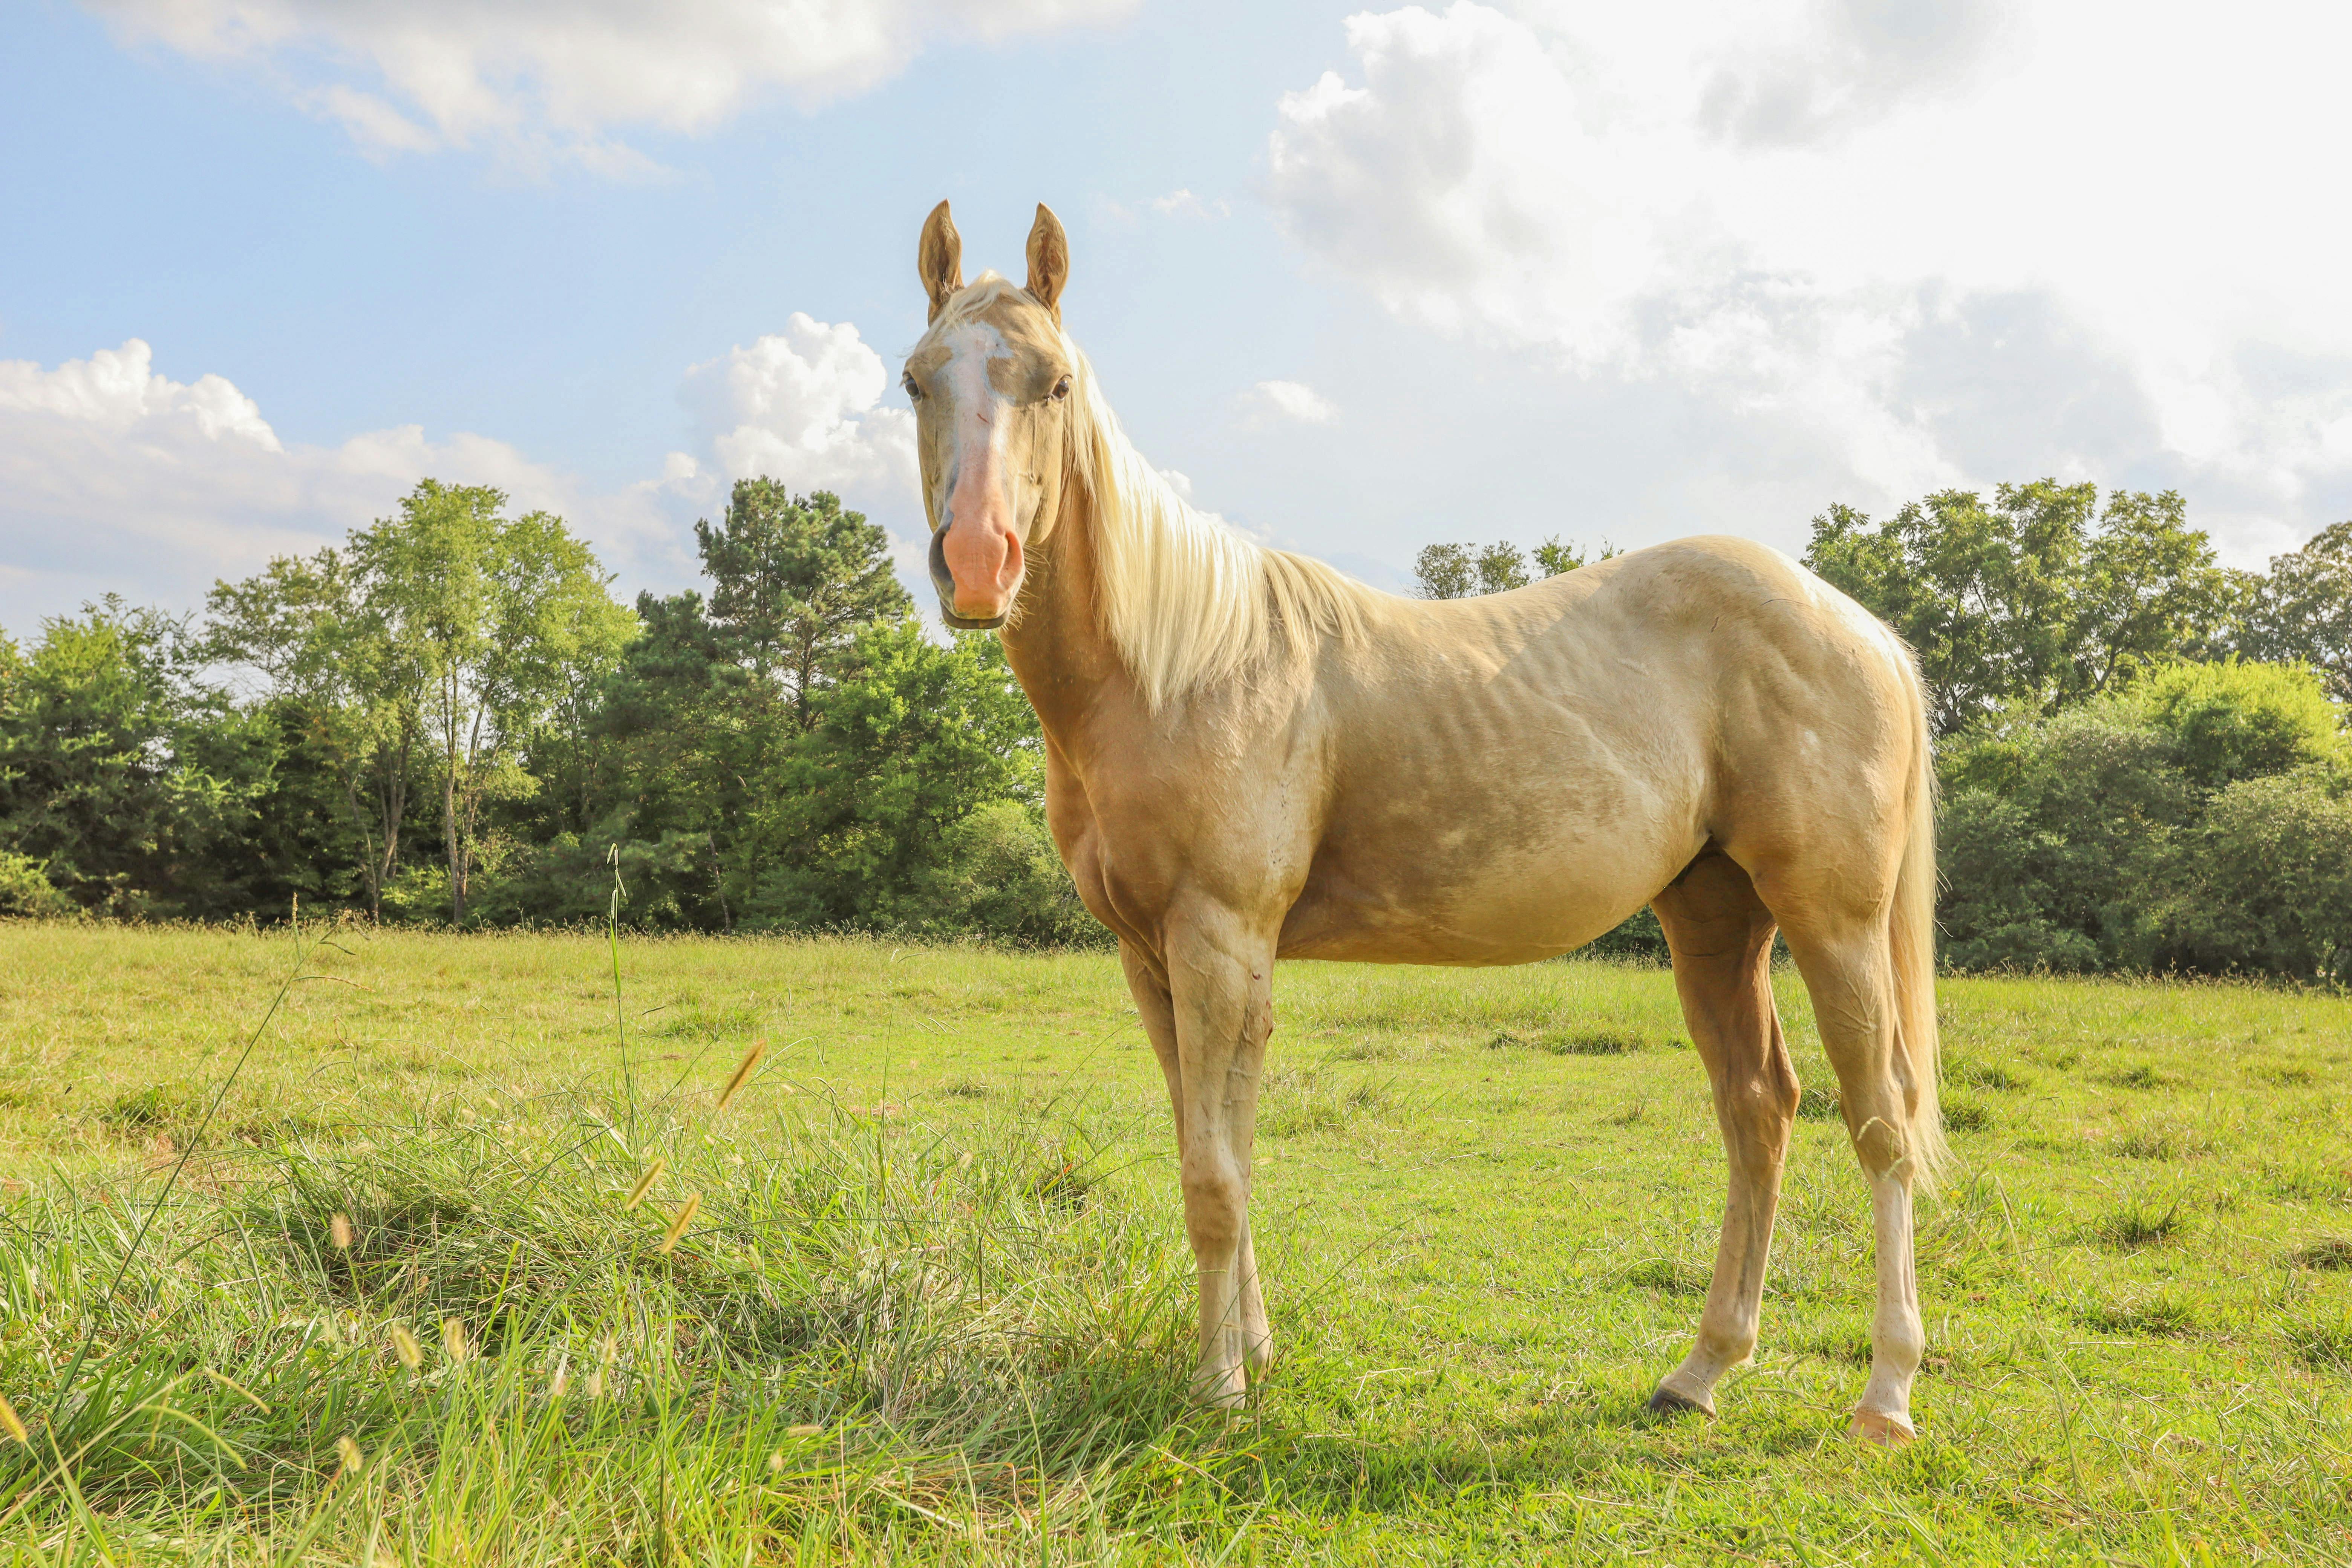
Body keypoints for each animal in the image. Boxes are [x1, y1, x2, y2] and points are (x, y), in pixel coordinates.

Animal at [900, 199, 1947, 1445]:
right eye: (917, 380)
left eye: (1055, 383)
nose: (977, 565)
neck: (1177, 668)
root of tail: (1857, 625)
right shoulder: (1149, 957)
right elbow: (1215, 1152)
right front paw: (1255, 1354)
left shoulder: (1221, 941)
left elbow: (1214, 1180)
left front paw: (1219, 1393)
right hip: (1714, 922)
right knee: (1760, 1112)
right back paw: (1700, 1371)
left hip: (1834, 923)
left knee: (1881, 1121)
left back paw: (1887, 1394)